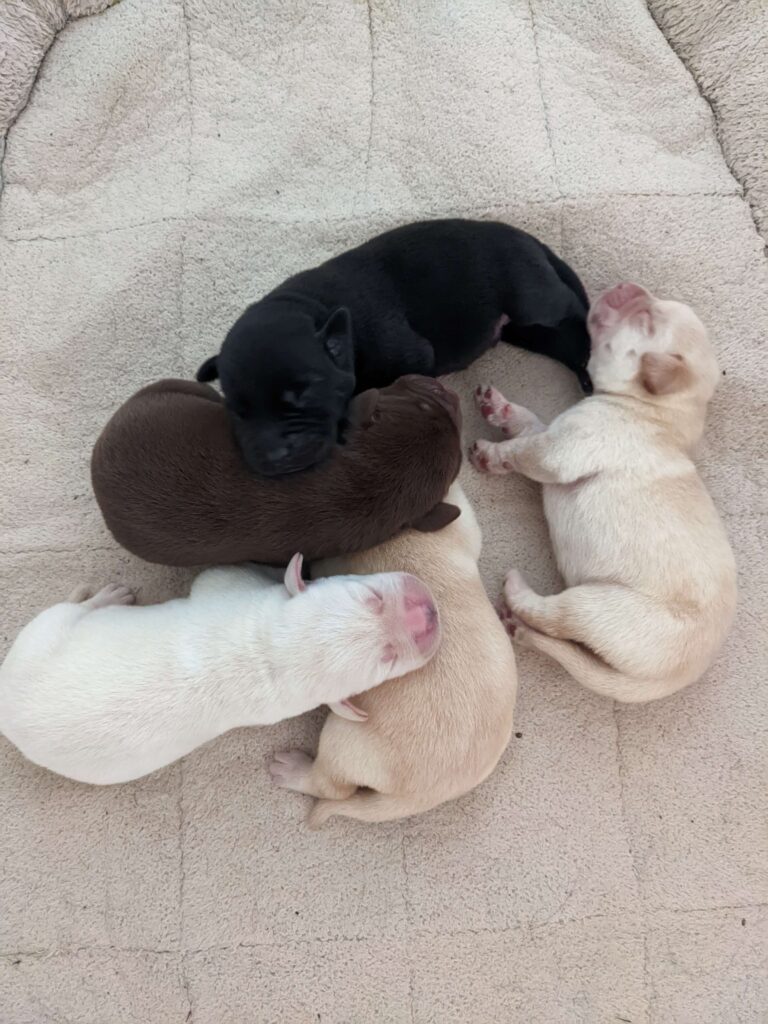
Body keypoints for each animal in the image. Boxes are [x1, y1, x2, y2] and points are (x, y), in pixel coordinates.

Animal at [0, 552, 442, 782]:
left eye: (389, 655)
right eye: (371, 598)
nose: (429, 613)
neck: (272, 652)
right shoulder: (227, 585)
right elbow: (234, 571)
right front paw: (293, 569)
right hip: (41, 638)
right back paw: (105, 597)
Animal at [196, 220, 589, 475]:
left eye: (303, 395)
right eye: (237, 411)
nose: (274, 456)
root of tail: (528, 239)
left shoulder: (409, 358)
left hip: (532, 300)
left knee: (569, 304)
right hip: (527, 330)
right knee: (564, 338)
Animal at [468, 282, 741, 704]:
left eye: (646, 320)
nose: (629, 285)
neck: (654, 410)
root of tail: (675, 677)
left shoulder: (557, 452)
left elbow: (520, 451)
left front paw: (489, 455)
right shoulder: (555, 434)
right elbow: (529, 422)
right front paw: (498, 408)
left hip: (597, 607)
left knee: (555, 617)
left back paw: (517, 593)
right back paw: (516, 625)